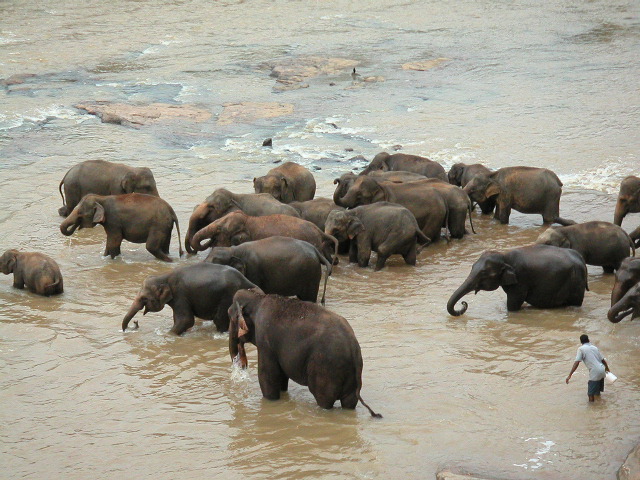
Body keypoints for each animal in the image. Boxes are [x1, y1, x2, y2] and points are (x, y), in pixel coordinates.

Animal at [122, 263, 259, 334]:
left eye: (144, 298)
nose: (135, 323)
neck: (164, 276)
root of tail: (247, 281)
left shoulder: (180, 295)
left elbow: (185, 320)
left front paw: (168, 335)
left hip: (228, 296)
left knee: (220, 320)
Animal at [204, 236, 332, 304]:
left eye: (214, 262)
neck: (233, 250)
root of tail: (316, 251)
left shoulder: (253, 269)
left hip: (311, 275)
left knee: (309, 298)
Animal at [228, 288, 382, 417]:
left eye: (230, 316)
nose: (240, 368)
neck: (259, 297)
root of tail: (353, 346)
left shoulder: (265, 340)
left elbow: (268, 377)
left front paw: (271, 401)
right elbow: (281, 377)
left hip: (325, 369)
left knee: (324, 399)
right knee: (349, 401)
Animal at [447, 244, 588, 316]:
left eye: (484, 273)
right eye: (472, 267)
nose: (464, 303)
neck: (505, 256)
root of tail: (581, 259)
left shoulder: (521, 280)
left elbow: (514, 302)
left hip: (576, 282)